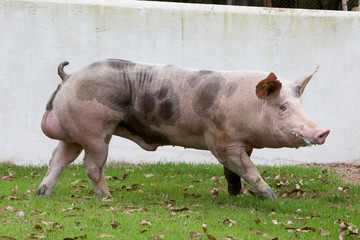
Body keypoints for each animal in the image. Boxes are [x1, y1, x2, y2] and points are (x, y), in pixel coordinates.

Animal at [39, 59, 330, 199]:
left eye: (300, 104)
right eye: (283, 107)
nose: (323, 132)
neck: (248, 106)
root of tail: (68, 78)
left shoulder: (240, 145)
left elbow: (233, 174)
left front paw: (236, 196)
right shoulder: (222, 142)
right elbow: (247, 169)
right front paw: (270, 197)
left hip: (75, 133)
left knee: (58, 158)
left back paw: (43, 193)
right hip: (96, 131)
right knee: (90, 165)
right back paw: (107, 197)